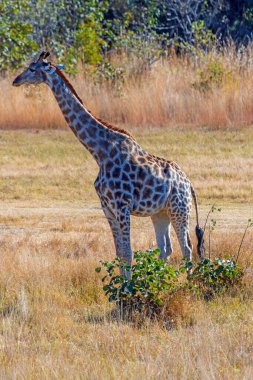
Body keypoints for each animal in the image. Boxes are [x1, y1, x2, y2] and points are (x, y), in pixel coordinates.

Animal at [12, 51, 206, 276]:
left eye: (32, 68)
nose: (16, 80)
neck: (100, 153)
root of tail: (189, 184)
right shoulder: (107, 207)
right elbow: (119, 253)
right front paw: (123, 286)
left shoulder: (122, 205)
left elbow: (128, 253)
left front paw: (130, 286)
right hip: (160, 213)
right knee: (166, 248)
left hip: (179, 209)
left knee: (187, 247)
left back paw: (188, 282)